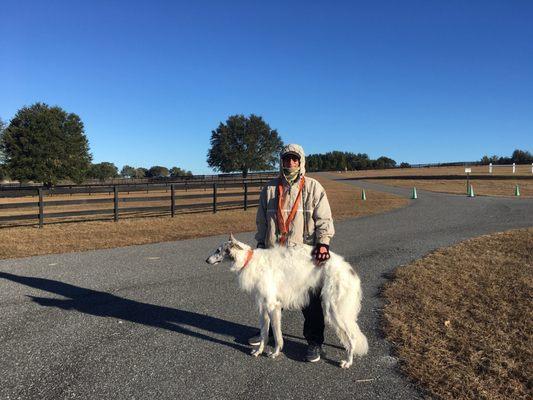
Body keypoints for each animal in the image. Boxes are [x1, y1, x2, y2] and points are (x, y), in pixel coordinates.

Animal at [206, 234, 368, 368]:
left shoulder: (273, 306)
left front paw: (275, 353)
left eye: (218, 250)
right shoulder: (263, 307)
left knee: (352, 336)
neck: (249, 260)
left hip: (333, 309)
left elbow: (277, 335)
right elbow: (264, 334)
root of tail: (349, 270)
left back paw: (348, 361)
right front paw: (258, 351)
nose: (206, 260)